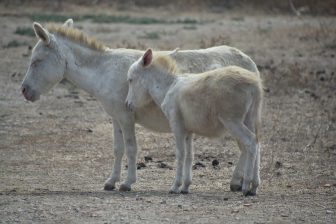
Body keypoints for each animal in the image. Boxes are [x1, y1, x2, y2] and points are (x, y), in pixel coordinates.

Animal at [126, 49, 262, 196]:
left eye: (131, 80)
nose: (127, 104)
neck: (168, 87)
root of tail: (255, 84)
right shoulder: (188, 131)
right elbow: (189, 156)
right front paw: (185, 186)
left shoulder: (177, 126)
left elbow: (180, 154)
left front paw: (175, 186)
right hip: (249, 119)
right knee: (257, 143)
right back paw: (254, 187)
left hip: (232, 121)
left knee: (251, 142)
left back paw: (246, 186)